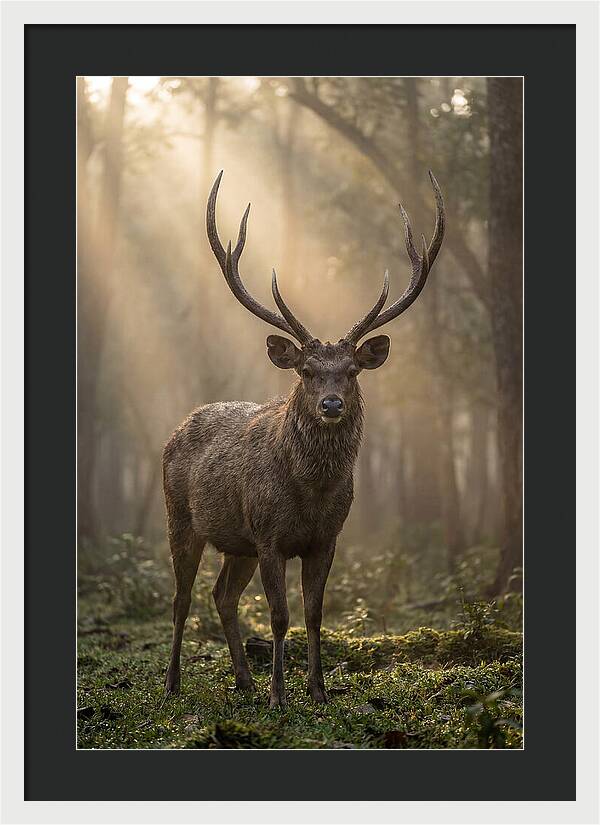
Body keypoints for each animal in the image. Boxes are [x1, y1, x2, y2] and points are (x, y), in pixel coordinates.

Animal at [163, 170, 445, 707]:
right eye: (308, 371)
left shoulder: (326, 538)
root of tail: (177, 427)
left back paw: (244, 680)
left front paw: (317, 690)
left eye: (352, 371)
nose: (331, 404)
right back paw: (172, 684)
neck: (310, 494)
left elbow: (314, 613)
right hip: (181, 518)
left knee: (222, 595)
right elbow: (279, 616)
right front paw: (280, 696)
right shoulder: (270, 535)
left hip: (238, 543)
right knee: (182, 597)